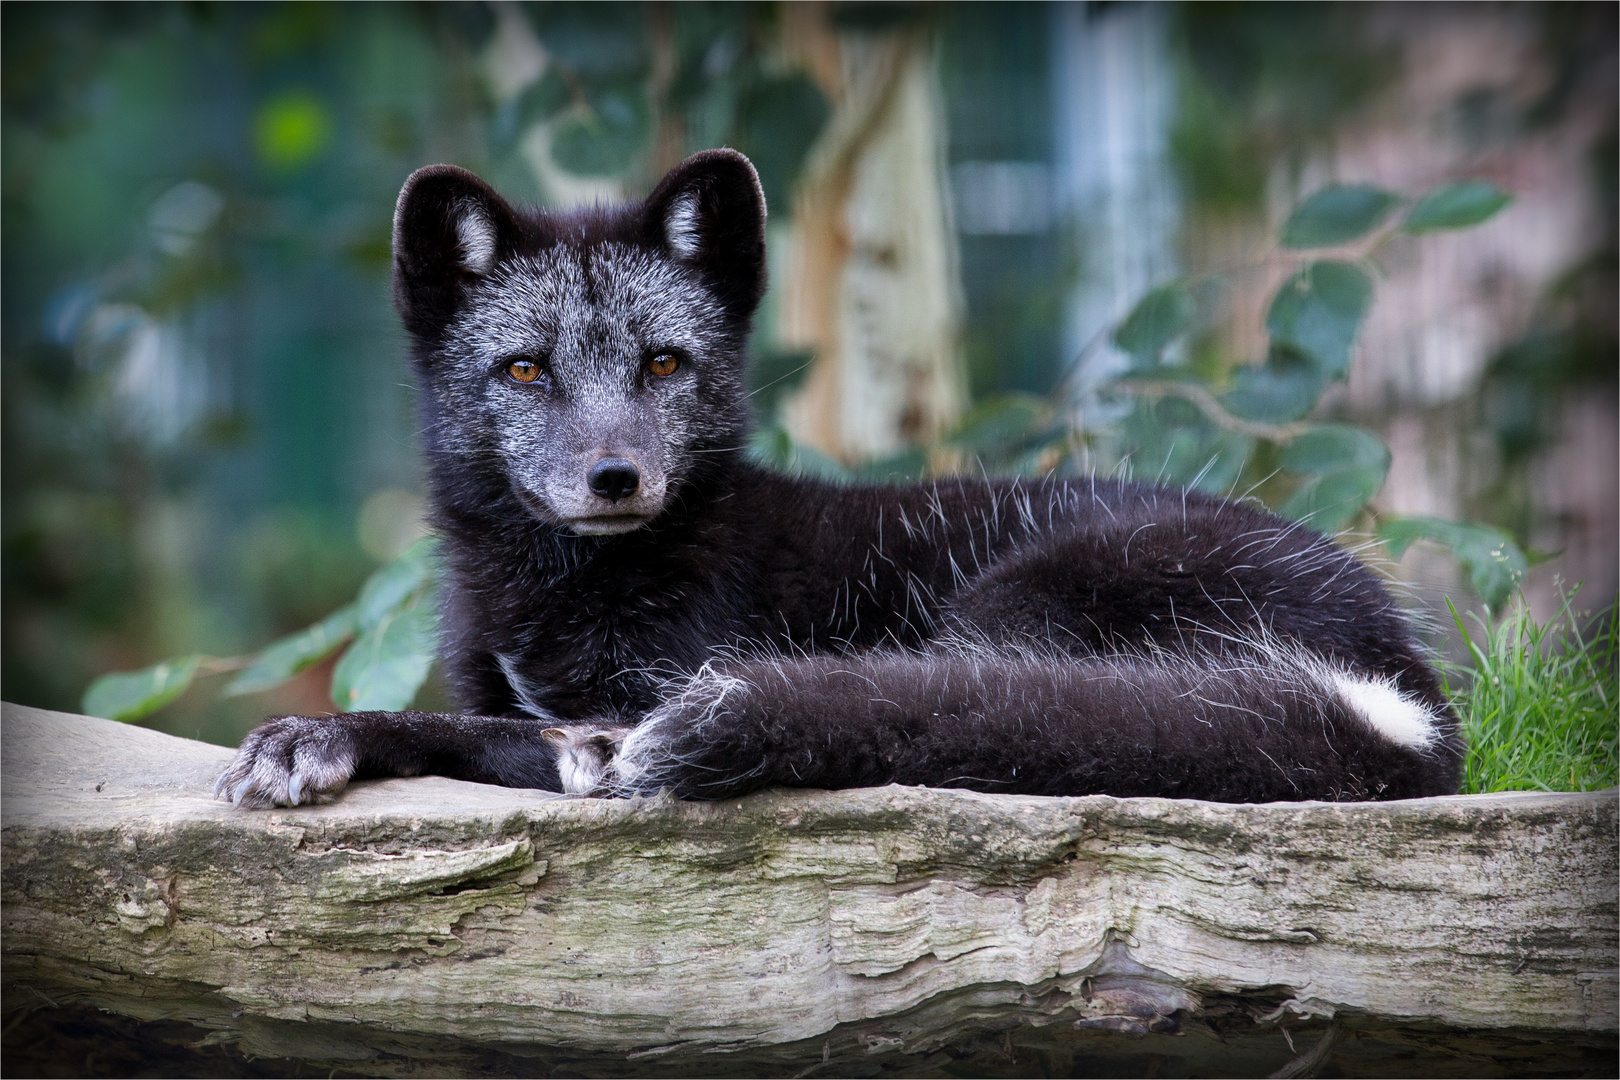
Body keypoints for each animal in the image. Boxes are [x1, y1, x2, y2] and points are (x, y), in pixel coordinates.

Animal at [208, 152, 1464, 809]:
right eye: (525, 369)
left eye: (664, 363)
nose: (615, 476)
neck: (554, 590)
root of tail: (1406, 690)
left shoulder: (632, 700)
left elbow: (518, 736)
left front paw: (318, 733)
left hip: (1002, 612)